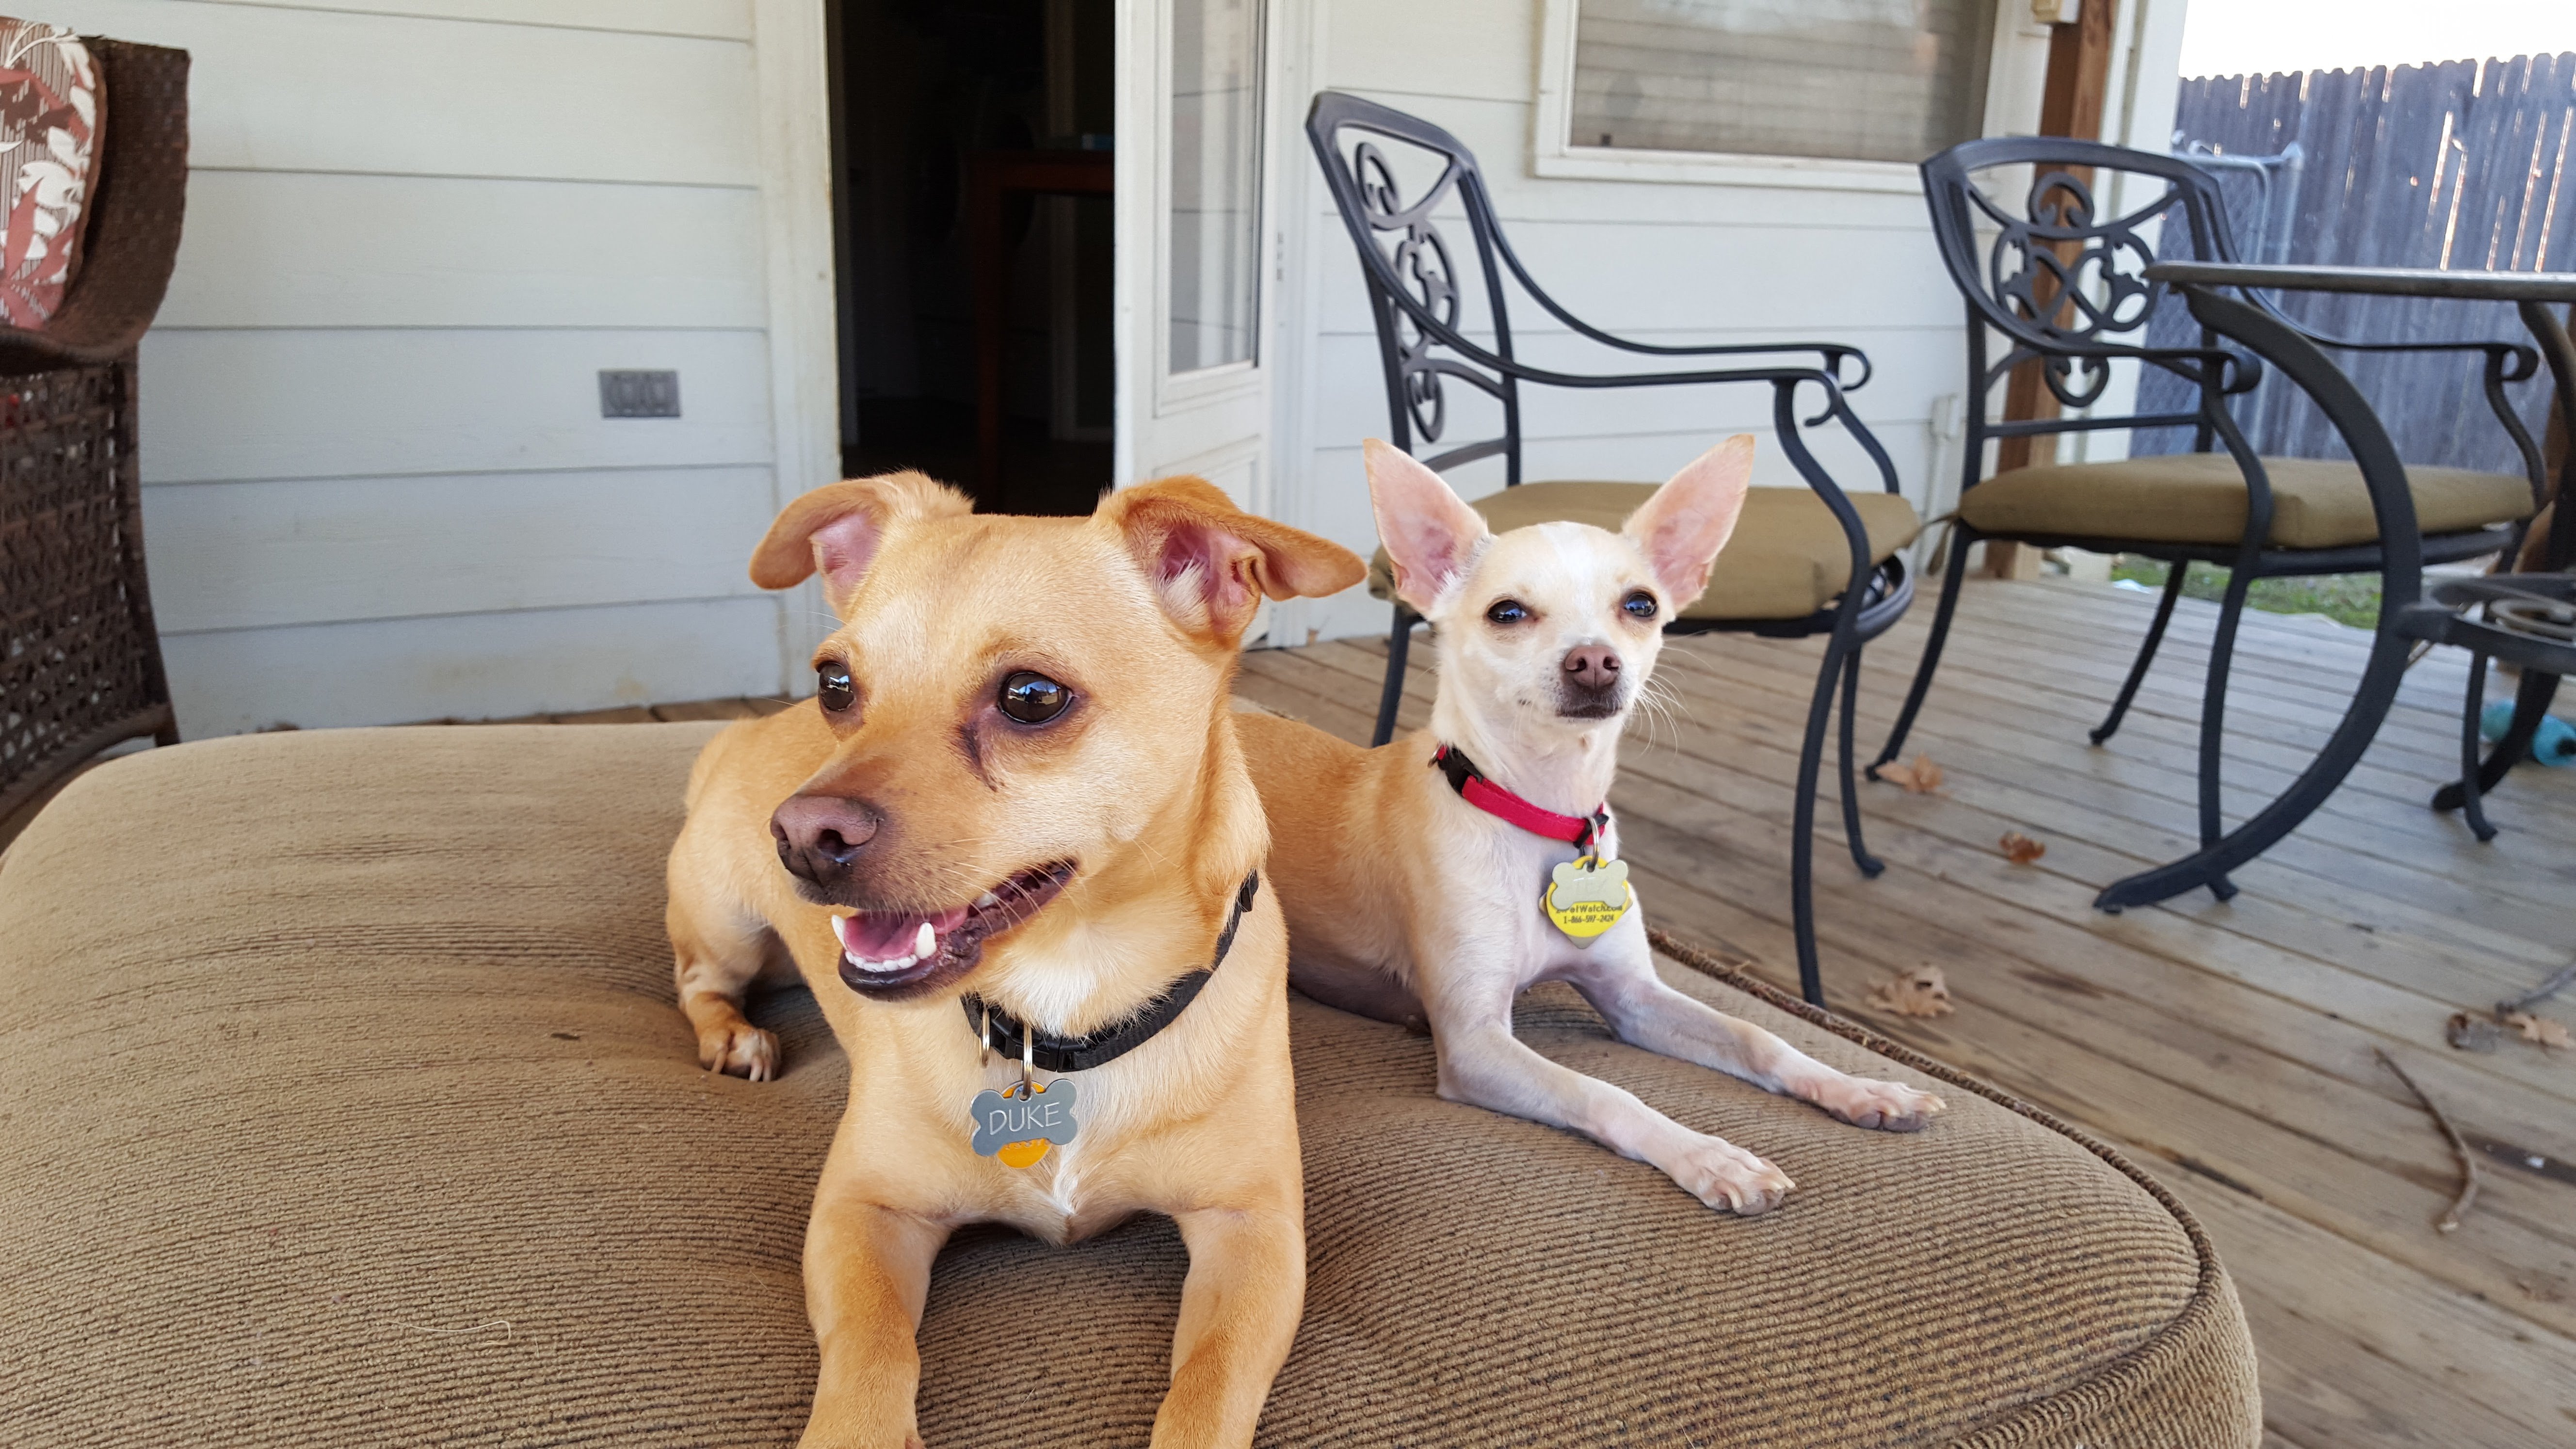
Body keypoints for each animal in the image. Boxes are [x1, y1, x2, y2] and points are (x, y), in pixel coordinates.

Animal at [670, 469, 1370, 1433]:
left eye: (1031, 697)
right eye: (836, 684)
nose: (803, 835)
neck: (1064, 1005)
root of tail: (736, 735)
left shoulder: (1254, 1231)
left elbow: (1210, 1387)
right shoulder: (861, 1212)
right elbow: (870, 1352)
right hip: (727, 922)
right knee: (696, 978)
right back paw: (732, 1034)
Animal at [1236, 438, 1937, 1207]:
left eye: (1641, 605)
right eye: (1507, 613)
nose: (1596, 661)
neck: (1540, 811)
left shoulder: (1633, 996)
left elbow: (1758, 1037)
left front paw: (1861, 1088)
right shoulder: (1476, 1044)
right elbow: (1605, 1093)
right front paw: (1711, 1157)